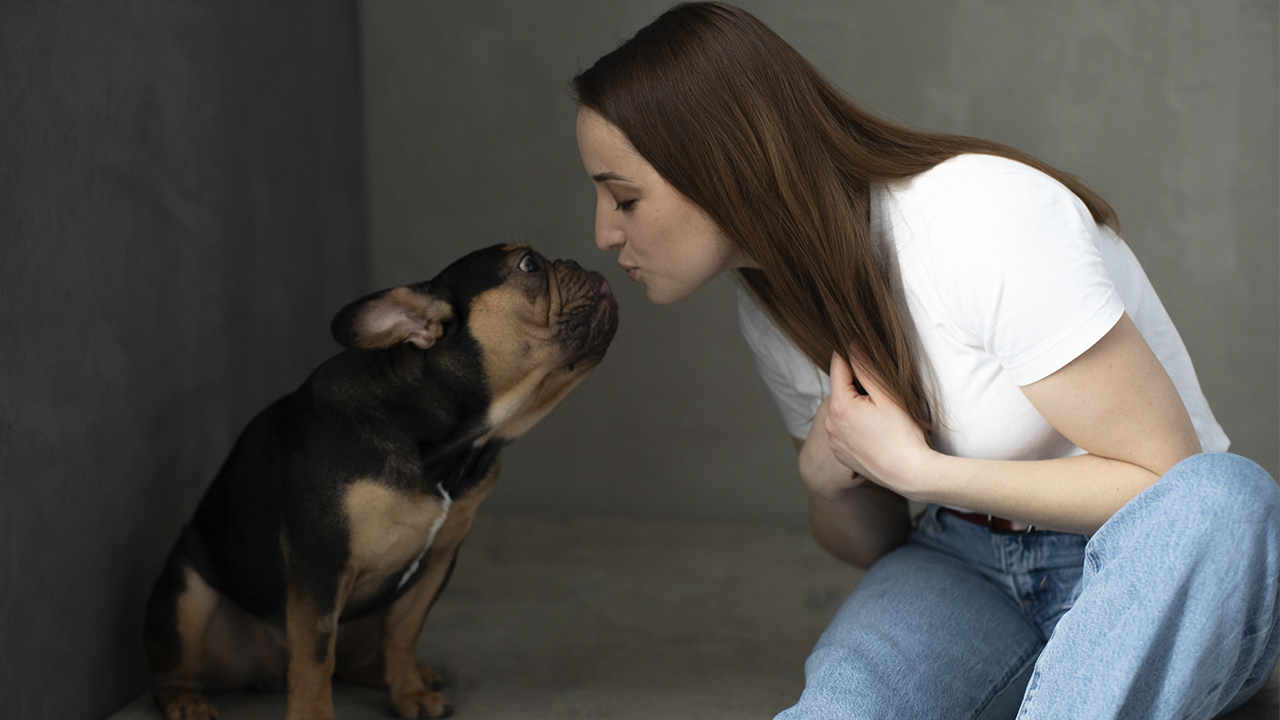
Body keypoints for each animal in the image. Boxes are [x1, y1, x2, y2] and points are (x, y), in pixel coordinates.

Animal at [144, 243, 619, 712]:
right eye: (529, 264)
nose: (578, 262)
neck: (446, 445)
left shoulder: (435, 562)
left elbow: (404, 634)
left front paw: (409, 692)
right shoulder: (321, 563)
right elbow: (314, 660)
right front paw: (314, 714)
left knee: (359, 658)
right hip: (187, 594)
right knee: (173, 674)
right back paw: (187, 702)